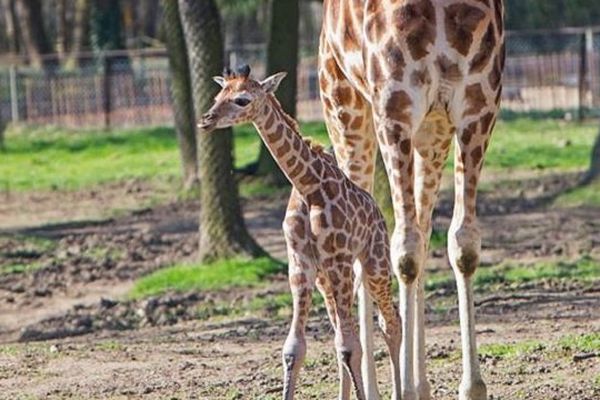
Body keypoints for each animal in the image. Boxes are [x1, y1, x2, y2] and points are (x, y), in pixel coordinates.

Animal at [199, 65, 400, 400]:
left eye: (242, 100)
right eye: (218, 96)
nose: (206, 119)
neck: (307, 185)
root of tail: (378, 213)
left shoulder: (338, 258)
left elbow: (350, 346)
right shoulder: (301, 263)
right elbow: (295, 348)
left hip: (373, 263)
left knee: (390, 323)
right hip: (326, 278)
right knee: (342, 333)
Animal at [322, 0, 504, 400]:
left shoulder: (478, 106)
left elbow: (463, 245)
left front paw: (470, 387)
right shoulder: (394, 108)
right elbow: (404, 253)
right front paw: (401, 389)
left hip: (432, 132)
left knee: (422, 228)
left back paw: (421, 385)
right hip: (345, 110)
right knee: (367, 246)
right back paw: (373, 390)